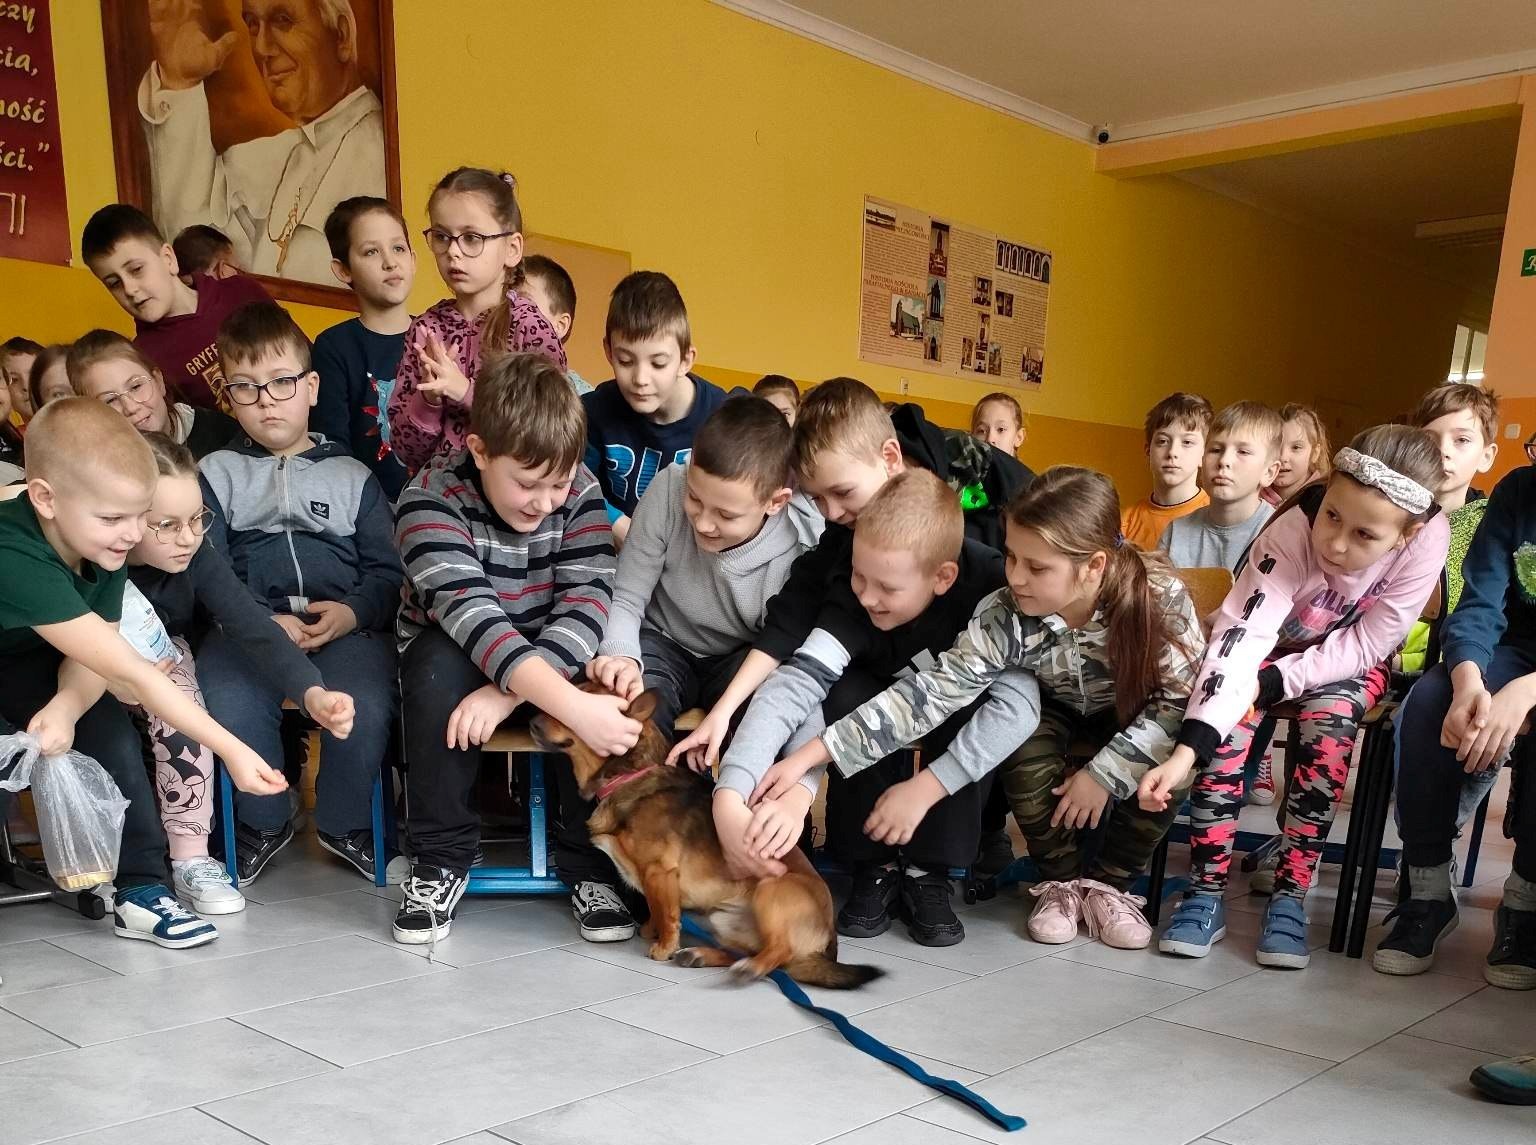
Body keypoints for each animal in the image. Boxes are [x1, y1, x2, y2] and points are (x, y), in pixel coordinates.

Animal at [534, 682, 884, 989]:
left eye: (580, 705)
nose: (531, 721)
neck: (628, 775)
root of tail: (826, 944)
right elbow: (654, 910)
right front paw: (651, 932)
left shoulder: (660, 872)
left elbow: (665, 913)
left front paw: (664, 946)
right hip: (722, 920)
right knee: (753, 956)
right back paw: (701, 956)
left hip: (770, 890)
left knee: (779, 953)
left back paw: (747, 968)